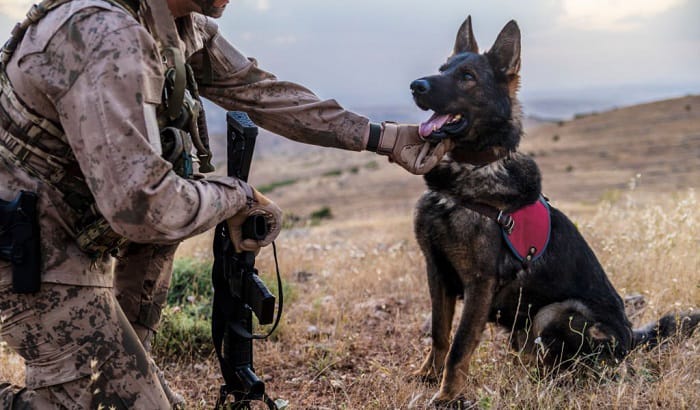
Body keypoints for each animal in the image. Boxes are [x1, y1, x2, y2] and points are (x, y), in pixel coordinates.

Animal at [410, 15, 700, 404]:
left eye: (467, 76)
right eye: (442, 69)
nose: (416, 85)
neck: (470, 170)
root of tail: (630, 339)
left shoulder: (479, 283)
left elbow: (459, 345)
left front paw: (446, 396)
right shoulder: (437, 270)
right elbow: (440, 334)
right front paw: (427, 376)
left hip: (556, 312)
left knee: (572, 363)